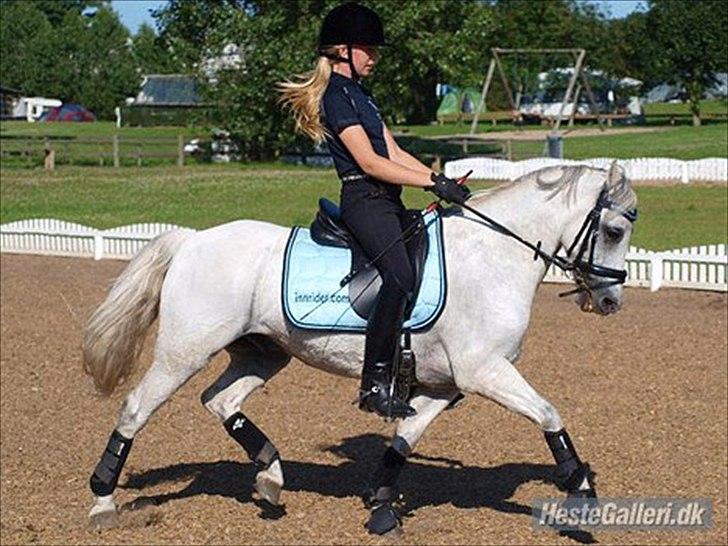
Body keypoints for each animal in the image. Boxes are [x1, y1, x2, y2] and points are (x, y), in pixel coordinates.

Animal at [82, 162, 636, 532]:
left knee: (221, 400)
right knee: (136, 408)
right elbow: (549, 414)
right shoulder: (485, 371)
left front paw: (381, 503)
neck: (493, 255)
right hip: (185, 351)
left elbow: (404, 439)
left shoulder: (446, 385)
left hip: (262, 352)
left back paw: (271, 478)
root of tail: (193, 239)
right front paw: (582, 493)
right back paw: (104, 502)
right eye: (613, 230)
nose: (610, 301)